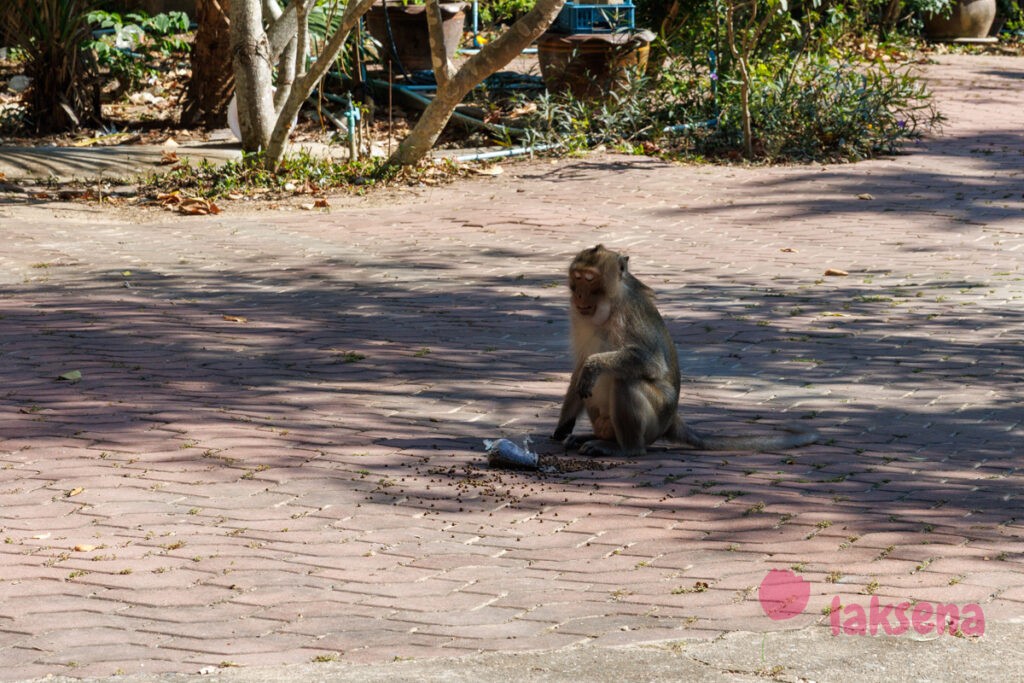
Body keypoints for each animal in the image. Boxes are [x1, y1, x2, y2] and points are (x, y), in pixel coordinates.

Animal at [557, 245, 819, 458]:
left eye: (590, 279)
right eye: (577, 278)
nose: (578, 293)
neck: (609, 306)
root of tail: (672, 420)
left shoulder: (628, 314)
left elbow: (651, 363)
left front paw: (593, 365)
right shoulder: (578, 317)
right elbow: (579, 368)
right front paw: (563, 425)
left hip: (657, 416)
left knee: (626, 380)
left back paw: (625, 449)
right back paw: (594, 437)